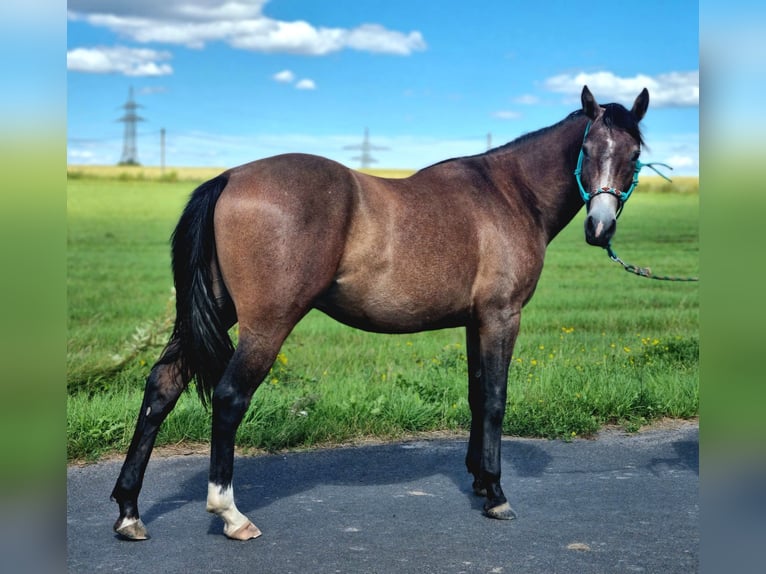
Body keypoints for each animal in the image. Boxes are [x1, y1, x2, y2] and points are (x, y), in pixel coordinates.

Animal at [112, 83, 656, 544]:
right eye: (588, 150)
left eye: (634, 156)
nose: (600, 228)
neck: (507, 192)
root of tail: (230, 177)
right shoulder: (502, 317)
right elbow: (496, 401)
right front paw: (497, 495)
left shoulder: (475, 321)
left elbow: (477, 396)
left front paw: (480, 481)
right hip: (266, 324)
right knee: (229, 398)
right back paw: (230, 514)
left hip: (210, 317)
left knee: (162, 386)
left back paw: (129, 510)